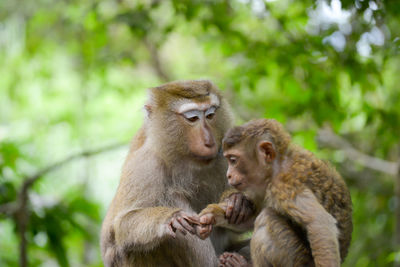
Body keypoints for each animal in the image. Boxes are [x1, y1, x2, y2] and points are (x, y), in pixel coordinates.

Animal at [100, 80, 253, 266]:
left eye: (210, 115)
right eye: (193, 118)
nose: (209, 140)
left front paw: (237, 201)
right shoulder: (145, 164)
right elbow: (122, 224)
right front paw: (171, 218)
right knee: (173, 197)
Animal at [196, 120, 350, 267]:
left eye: (233, 160)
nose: (228, 175)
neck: (276, 166)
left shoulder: (285, 185)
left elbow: (319, 223)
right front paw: (212, 215)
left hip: (298, 260)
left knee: (266, 218)